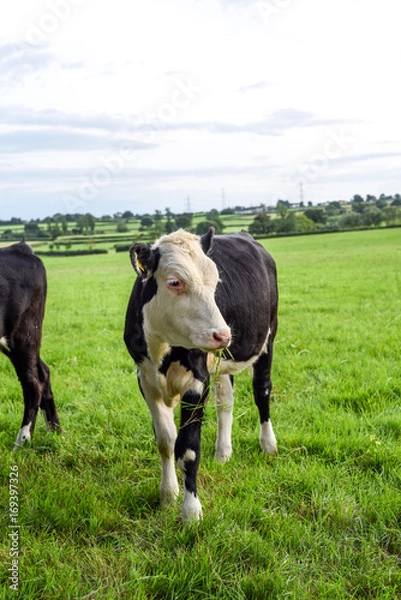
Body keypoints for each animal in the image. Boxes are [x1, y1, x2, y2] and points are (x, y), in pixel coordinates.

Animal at [0, 241, 59, 448]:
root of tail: (18, 247)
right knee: (44, 372)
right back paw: (55, 431)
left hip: (24, 334)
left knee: (32, 383)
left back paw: (22, 441)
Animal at [123, 227, 276, 524]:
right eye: (174, 282)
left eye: (216, 281)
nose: (223, 334)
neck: (162, 348)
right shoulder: (145, 380)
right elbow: (166, 441)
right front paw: (168, 495)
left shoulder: (196, 382)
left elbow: (189, 450)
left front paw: (191, 511)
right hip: (220, 363)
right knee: (226, 401)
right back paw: (223, 452)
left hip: (268, 337)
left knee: (262, 390)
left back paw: (268, 444)